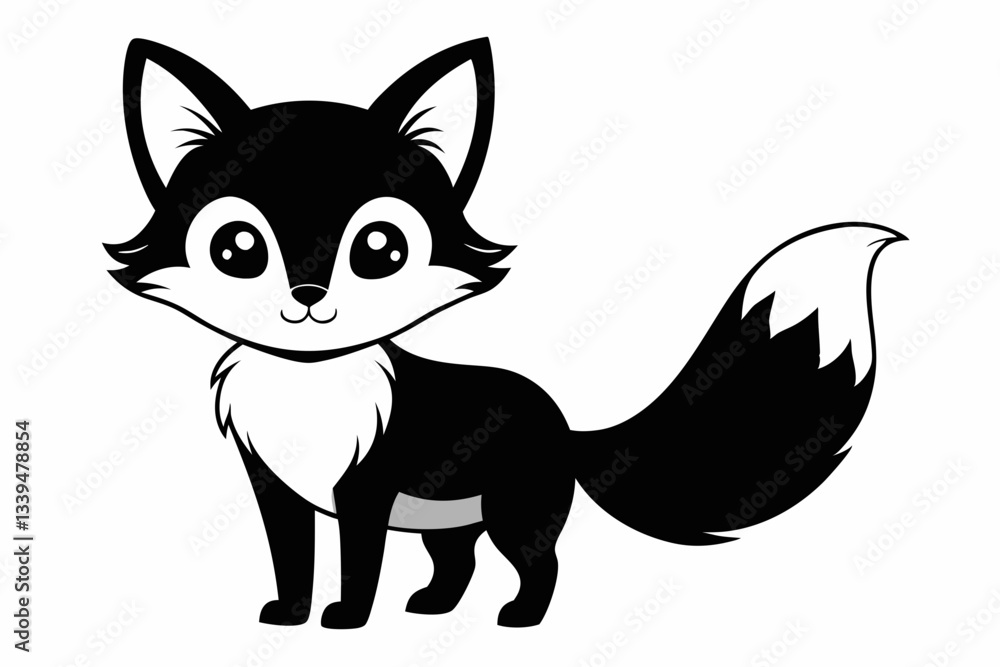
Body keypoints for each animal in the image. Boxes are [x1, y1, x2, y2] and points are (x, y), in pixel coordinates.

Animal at [106, 37, 904, 629]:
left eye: (379, 250)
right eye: (238, 248)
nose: (305, 297)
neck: (307, 385)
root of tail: (564, 422)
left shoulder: (363, 491)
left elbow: (357, 564)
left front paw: (346, 619)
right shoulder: (275, 486)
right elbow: (290, 558)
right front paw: (288, 614)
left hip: (513, 511)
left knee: (540, 563)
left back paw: (520, 618)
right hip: (449, 514)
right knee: (455, 563)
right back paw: (432, 607)